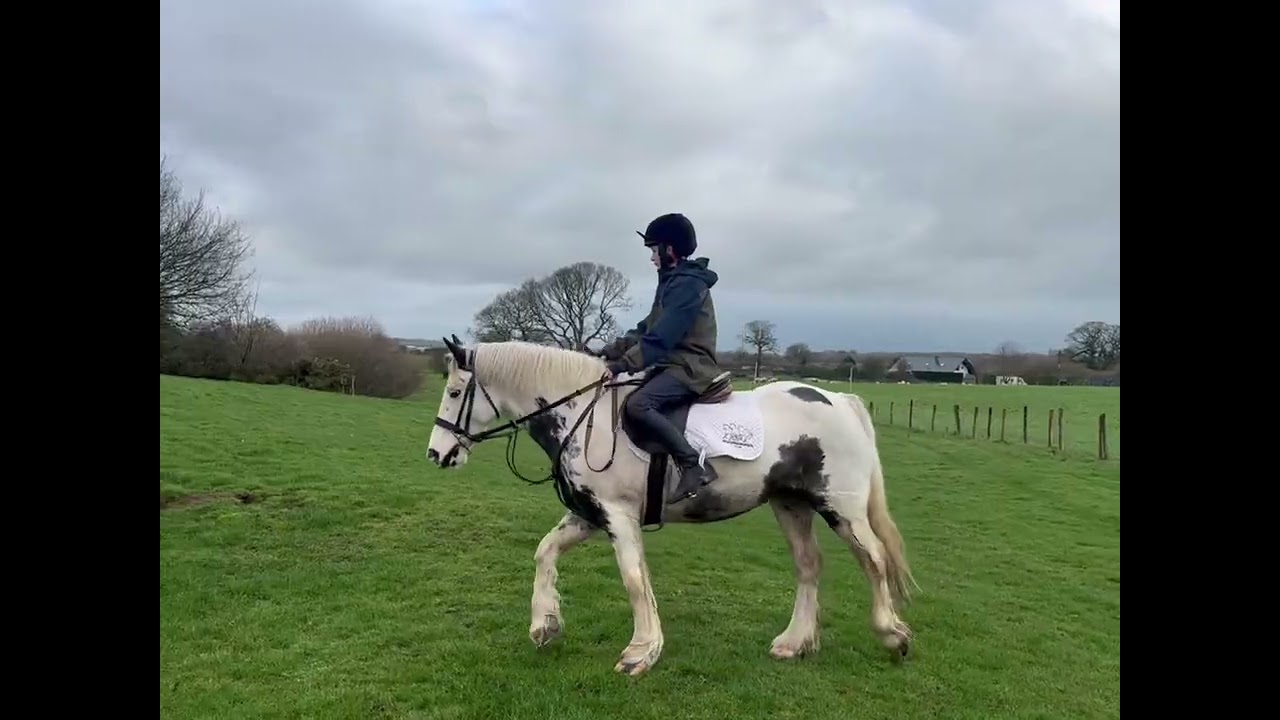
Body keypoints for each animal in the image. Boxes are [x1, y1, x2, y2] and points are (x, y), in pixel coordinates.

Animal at [424, 336, 918, 677]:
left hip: (841, 507)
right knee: (809, 566)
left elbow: (633, 577)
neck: (584, 414)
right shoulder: (589, 514)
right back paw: (794, 642)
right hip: (790, 504)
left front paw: (641, 652)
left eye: (454, 393)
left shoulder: (617, 514)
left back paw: (892, 635)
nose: (436, 454)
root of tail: (839, 400)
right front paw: (545, 625)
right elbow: (545, 552)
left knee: (874, 560)